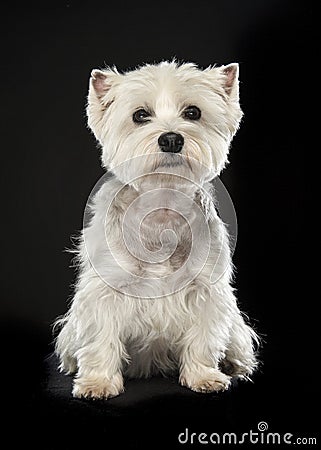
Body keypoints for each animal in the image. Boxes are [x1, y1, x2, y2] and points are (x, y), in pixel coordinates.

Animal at [54, 60, 258, 400]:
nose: (171, 139)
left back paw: (233, 365)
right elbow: (101, 339)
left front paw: (204, 377)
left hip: (237, 330)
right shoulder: (105, 292)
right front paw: (98, 383)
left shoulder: (204, 291)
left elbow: (203, 339)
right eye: (140, 115)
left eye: (193, 112)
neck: (162, 209)